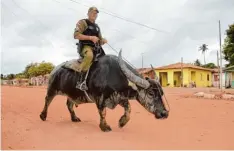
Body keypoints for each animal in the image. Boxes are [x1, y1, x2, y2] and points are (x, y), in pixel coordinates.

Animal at [40, 50, 168, 132]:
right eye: (151, 93)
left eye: (161, 93)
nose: (165, 113)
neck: (114, 75)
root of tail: (54, 70)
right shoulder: (100, 98)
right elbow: (103, 112)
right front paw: (104, 127)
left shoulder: (119, 98)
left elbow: (129, 109)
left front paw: (122, 122)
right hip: (52, 88)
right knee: (47, 100)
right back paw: (43, 116)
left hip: (72, 94)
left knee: (69, 104)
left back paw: (74, 118)